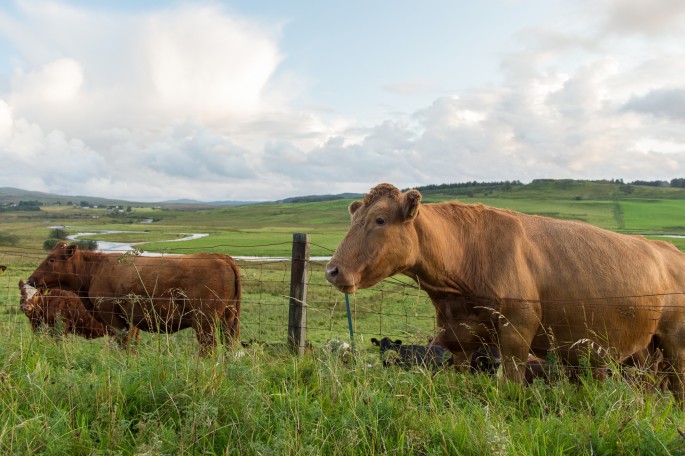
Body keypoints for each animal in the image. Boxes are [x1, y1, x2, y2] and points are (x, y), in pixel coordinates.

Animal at [26, 242, 240, 352]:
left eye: (51, 260)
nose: (31, 279)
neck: (95, 269)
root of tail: (221, 257)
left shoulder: (114, 319)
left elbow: (123, 345)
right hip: (227, 320)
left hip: (204, 323)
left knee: (208, 348)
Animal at [324, 183, 684, 404]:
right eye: (354, 218)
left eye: (380, 219)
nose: (333, 270)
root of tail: (668, 249)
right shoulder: (459, 335)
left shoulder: (516, 331)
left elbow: (510, 385)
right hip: (646, 350)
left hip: (674, 341)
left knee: (678, 384)